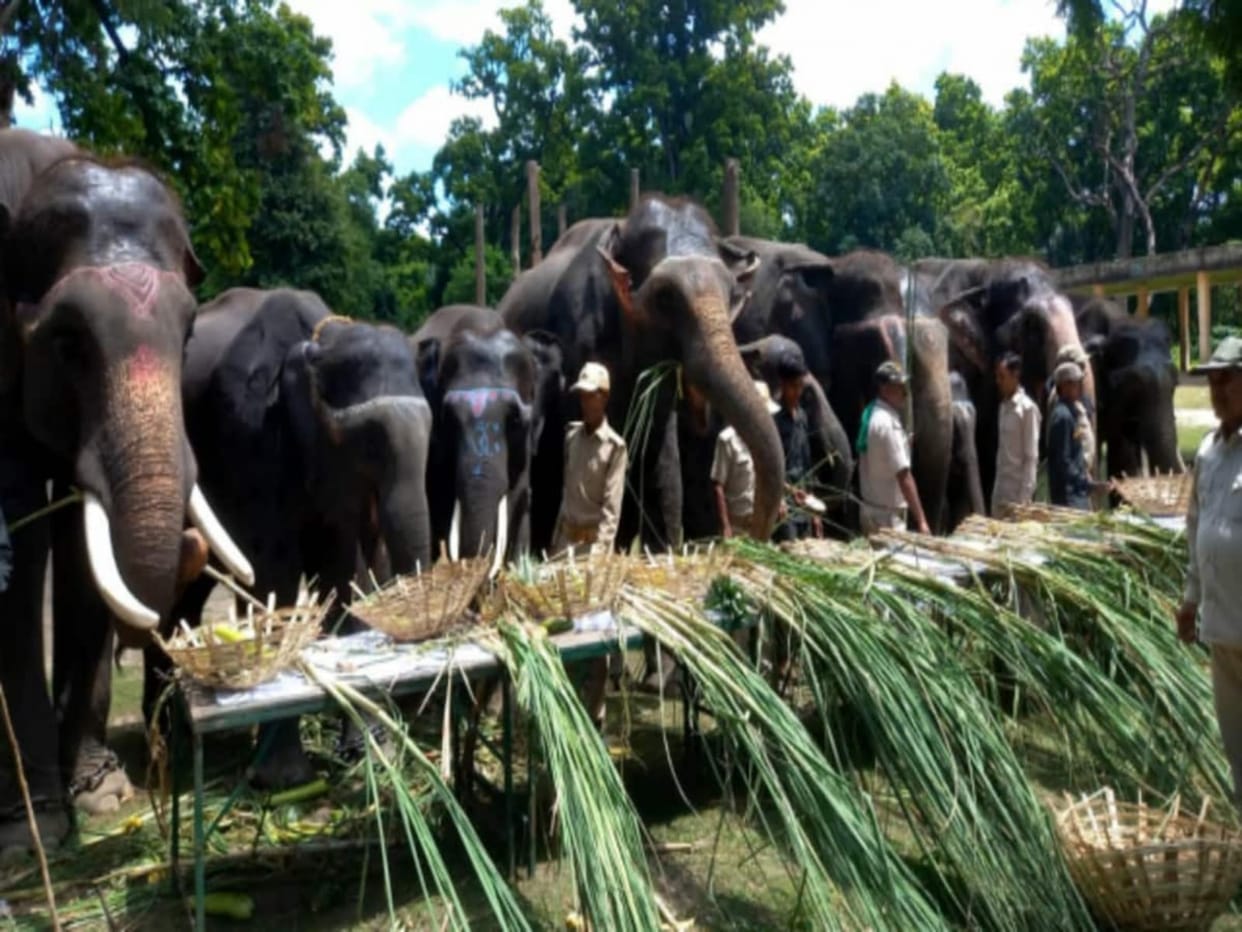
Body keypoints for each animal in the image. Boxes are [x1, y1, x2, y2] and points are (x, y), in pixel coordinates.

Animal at [0, 133, 250, 849]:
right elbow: (21, 541)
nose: (193, 546)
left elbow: (83, 554)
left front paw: (103, 794)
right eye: (66, 342)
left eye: (189, 333)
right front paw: (33, 827)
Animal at [170, 288, 432, 787]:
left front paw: (366, 752)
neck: (319, 341)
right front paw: (284, 779)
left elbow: (345, 574)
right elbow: (277, 573)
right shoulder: (249, 433)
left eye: (432, 432)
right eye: (369, 442)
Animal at [499, 195, 785, 549]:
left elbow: (661, 456)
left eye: (733, 296)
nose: (754, 538)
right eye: (664, 297)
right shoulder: (576, 337)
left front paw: (662, 547)